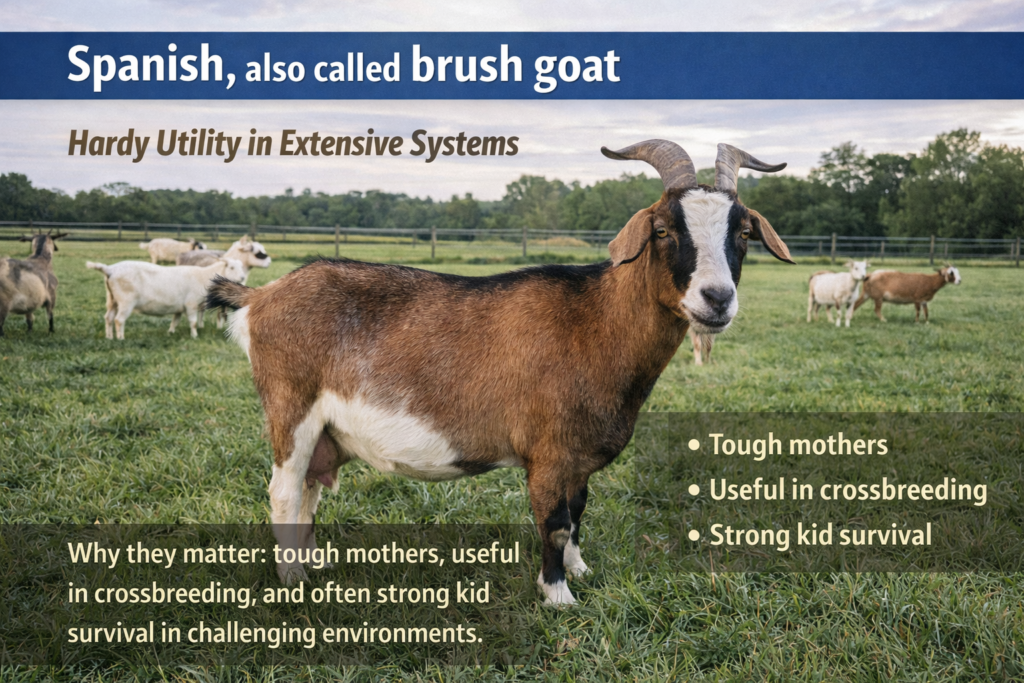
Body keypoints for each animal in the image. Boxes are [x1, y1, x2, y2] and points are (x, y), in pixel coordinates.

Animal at [87, 258, 246, 339]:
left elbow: (175, 320)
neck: (203, 276)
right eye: (231, 267)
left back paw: (109, 337)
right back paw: (120, 338)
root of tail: (109, 269)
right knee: (119, 320)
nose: (243, 277)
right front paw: (194, 336)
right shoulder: (191, 304)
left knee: (108, 318)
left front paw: (171, 333)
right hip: (126, 301)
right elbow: (193, 322)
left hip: (112, 299)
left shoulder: (180, 307)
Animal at [207, 140, 794, 605]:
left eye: (743, 232)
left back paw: (313, 564)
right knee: (284, 490)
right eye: (664, 229)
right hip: (291, 406)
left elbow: (577, 512)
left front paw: (582, 570)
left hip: (323, 431)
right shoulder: (549, 453)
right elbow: (553, 522)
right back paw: (292, 580)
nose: (716, 299)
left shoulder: (576, 457)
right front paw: (558, 596)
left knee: (309, 489)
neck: (594, 322)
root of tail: (261, 296)